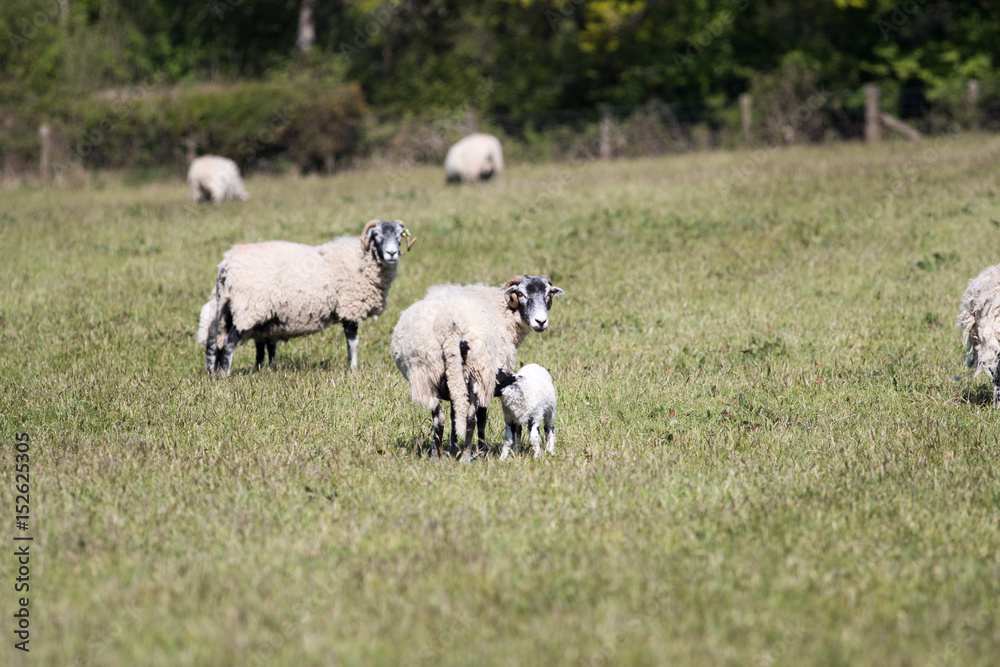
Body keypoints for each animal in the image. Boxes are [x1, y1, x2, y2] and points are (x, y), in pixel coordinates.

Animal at [198, 219, 414, 375]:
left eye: (399, 235)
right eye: (376, 235)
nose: (392, 253)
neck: (363, 258)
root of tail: (226, 264)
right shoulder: (350, 308)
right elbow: (353, 343)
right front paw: (353, 370)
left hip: (234, 309)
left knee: (216, 341)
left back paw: (220, 373)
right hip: (248, 308)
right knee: (228, 343)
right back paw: (225, 374)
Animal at [391, 275, 565, 459]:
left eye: (549, 293)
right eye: (521, 294)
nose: (541, 322)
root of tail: (449, 326)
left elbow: (454, 415)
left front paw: (453, 448)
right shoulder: (489, 380)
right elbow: (481, 418)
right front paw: (481, 451)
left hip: (427, 376)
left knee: (439, 419)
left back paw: (435, 456)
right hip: (476, 371)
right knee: (471, 418)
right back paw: (467, 456)